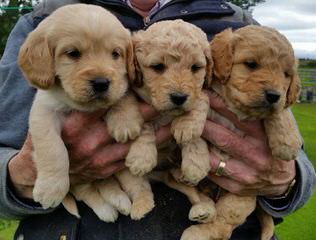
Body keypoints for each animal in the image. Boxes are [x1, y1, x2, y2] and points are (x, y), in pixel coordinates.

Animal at [18, 3, 148, 222]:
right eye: (72, 53)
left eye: (115, 54)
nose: (102, 83)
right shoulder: (43, 112)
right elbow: (53, 148)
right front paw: (50, 188)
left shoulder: (120, 84)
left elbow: (122, 92)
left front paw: (124, 121)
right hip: (81, 179)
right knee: (87, 192)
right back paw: (107, 210)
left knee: (110, 184)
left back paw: (122, 203)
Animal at [180, 24, 302, 240]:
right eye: (251, 64)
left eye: (287, 74)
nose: (273, 95)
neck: (237, 108)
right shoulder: (207, 90)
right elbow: (200, 100)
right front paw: (189, 128)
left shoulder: (278, 104)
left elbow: (281, 110)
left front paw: (288, 143)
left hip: (240, 199)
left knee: (222, 226)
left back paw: (197, 232)